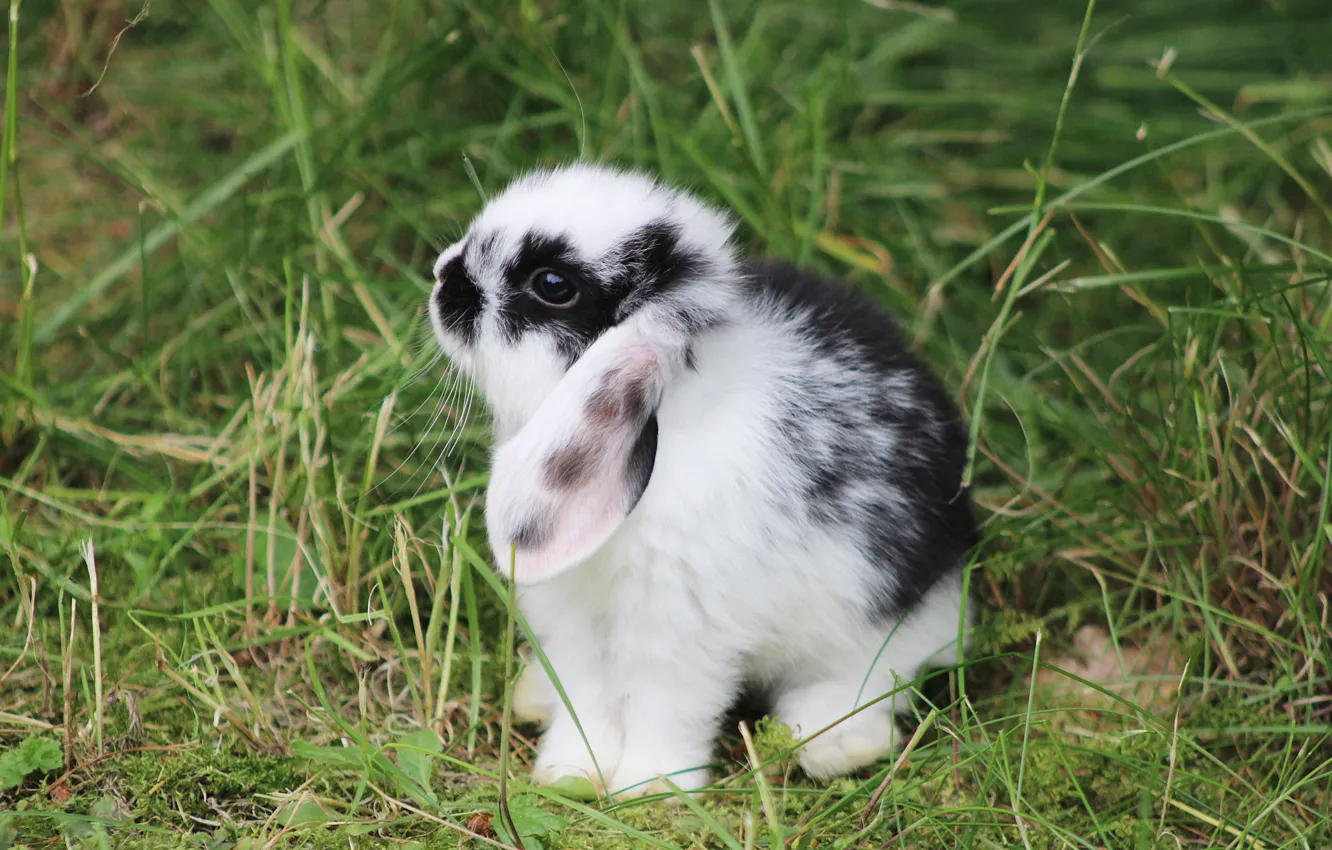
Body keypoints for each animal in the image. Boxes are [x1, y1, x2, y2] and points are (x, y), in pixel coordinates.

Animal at [426, 162, 978, 799]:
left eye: (553, 284)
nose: (443, 275)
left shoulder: (680, 631)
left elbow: (665, 709)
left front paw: (651, 788)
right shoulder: (574, 623)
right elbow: (586, 700)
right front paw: (570, 774)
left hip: (879, 623)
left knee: (874, 682)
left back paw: (833, 745)